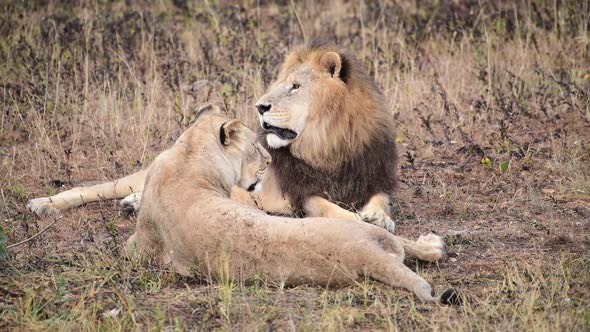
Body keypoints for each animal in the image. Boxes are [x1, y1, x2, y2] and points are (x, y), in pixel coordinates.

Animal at [26, 40, 398, 233]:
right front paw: (368, 224)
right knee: (93, 189)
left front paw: (379, 216)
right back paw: (44, 204)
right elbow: (331, 209)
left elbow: (381, 200)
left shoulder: (373, 177)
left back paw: (133, 204)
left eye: (294, 86)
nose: (260, 106)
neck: (330, 143)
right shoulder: (300, 195)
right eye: (280, 83)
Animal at [127, 105, 456, 304]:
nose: (270, 160)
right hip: (357, 229)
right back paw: (434, 244)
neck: (189, 154)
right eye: (256, 146)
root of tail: (366, 255)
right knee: (406, 244)